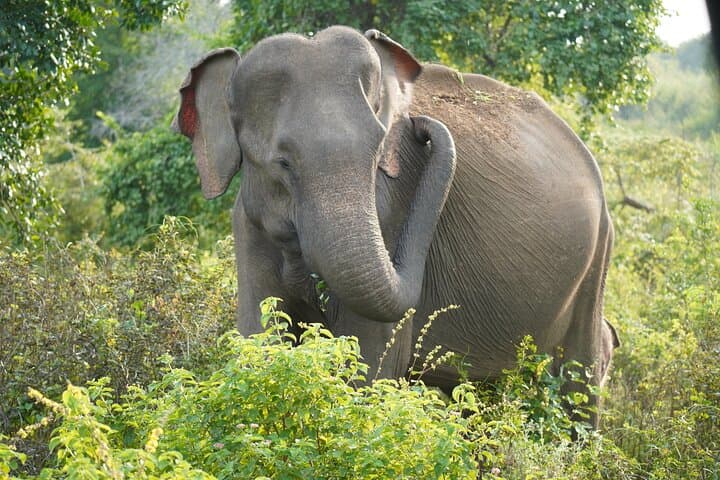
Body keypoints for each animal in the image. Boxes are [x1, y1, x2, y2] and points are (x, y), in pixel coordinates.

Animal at [172, 26, 615, 425]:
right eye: (283, 163)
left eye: (378, 149)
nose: (421, 126)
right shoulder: (247, 226)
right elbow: (259, 338)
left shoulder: (390, 210)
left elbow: (366, 364)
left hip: (595, 264)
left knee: (577, 386)